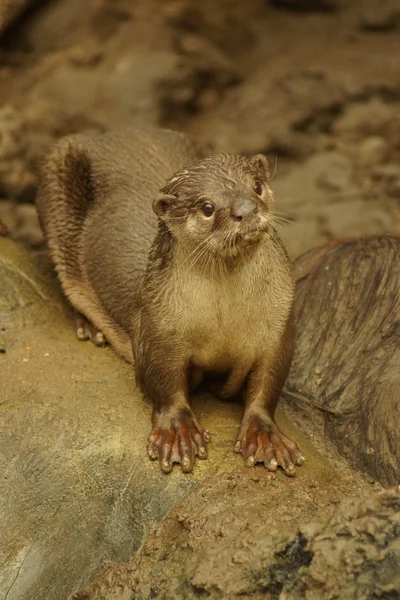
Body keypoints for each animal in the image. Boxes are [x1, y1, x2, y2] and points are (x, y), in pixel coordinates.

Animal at [37, 126, 304, 474]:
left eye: (257, 186)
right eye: (206, 207)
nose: (246, 210)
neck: (224, 322)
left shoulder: (280, 322)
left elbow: (269, 381)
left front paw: (266, 436)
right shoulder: (158, 323)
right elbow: (162, 379)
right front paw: (178, 431)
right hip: (58, 174)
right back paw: (90, 327)